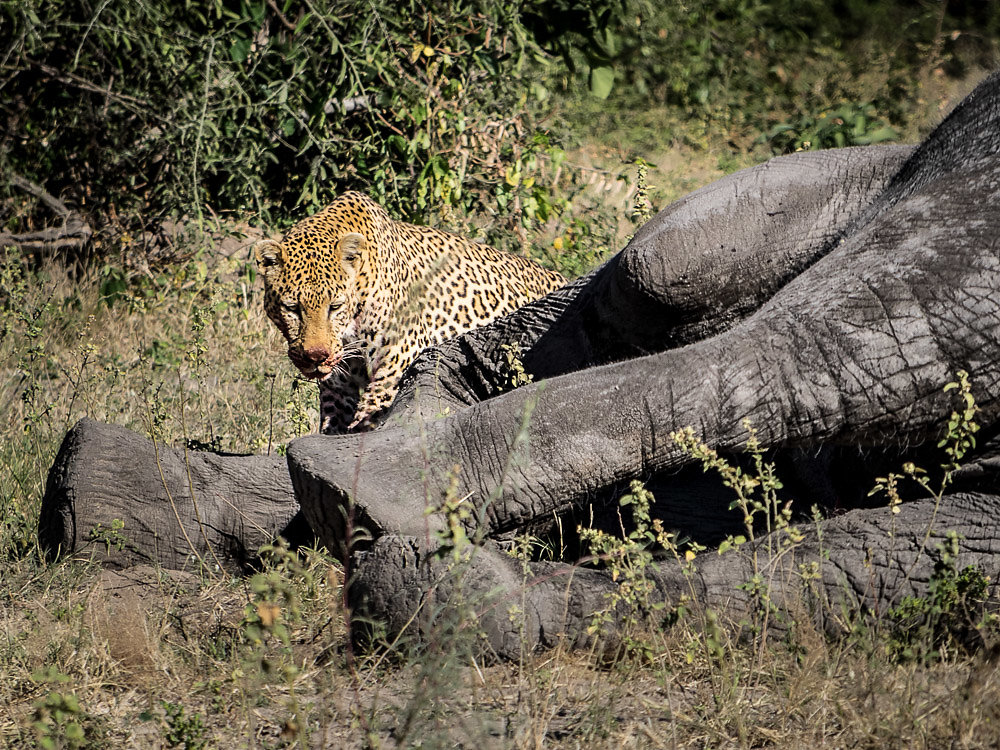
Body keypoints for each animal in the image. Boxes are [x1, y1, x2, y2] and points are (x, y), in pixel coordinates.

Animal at [254, 192, 568, 434]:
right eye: (292, 308)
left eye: (335, 306)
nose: (316, 356)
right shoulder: (338, 384)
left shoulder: (397, 362)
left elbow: (372, 417)